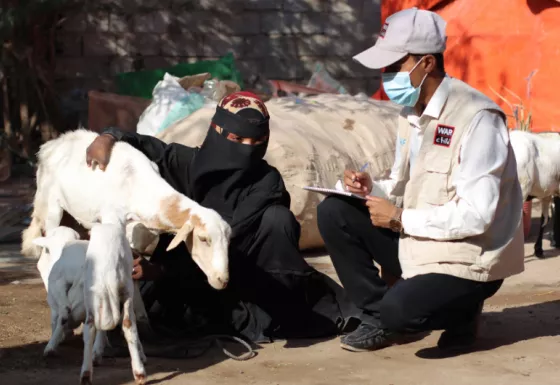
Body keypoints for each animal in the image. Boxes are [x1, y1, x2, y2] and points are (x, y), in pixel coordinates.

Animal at [20, 128, 230, 292]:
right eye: (203, 239)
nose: (222, 279)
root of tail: (50, 146)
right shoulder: (111, 219)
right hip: (50, 208)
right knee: (46, 259)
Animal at [32, 222, 147, 384]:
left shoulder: (57, 287)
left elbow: (60, 315)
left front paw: (53, 342)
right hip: (125, 293)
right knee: (130, 322)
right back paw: (138, 361)